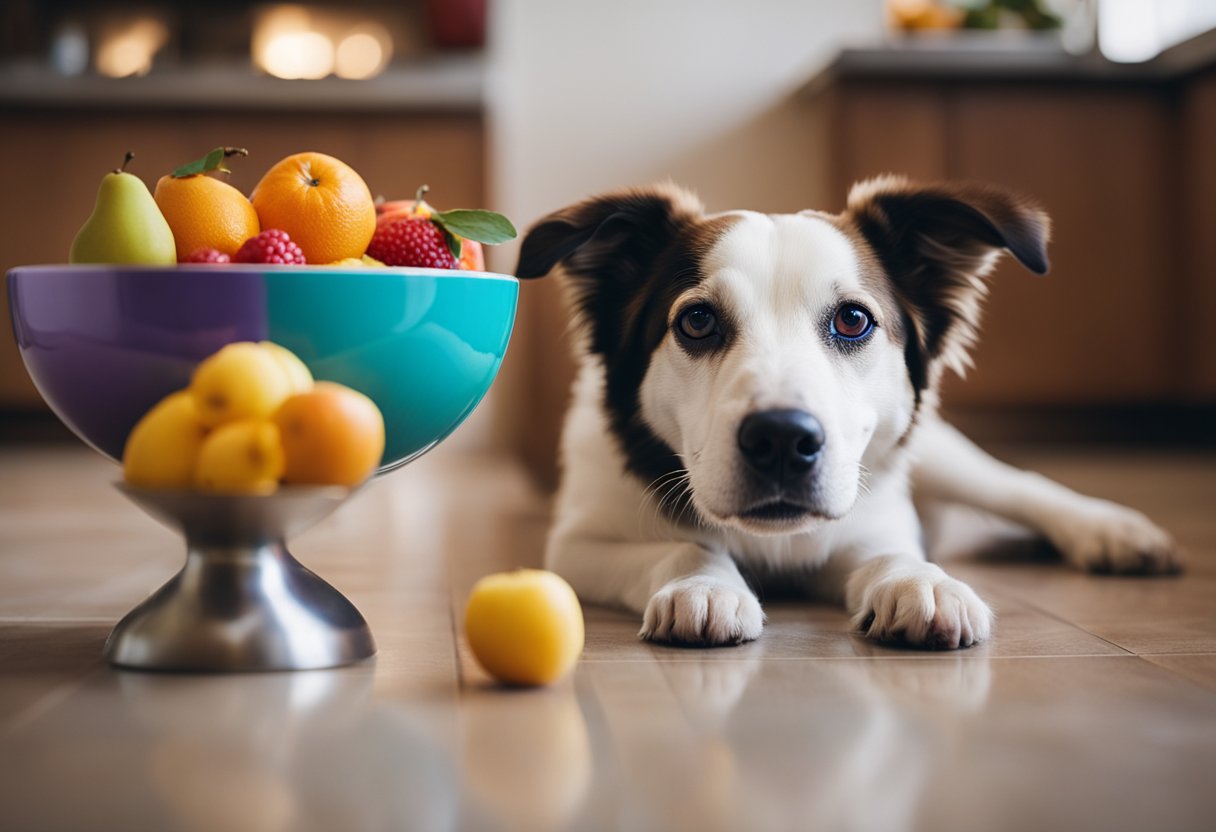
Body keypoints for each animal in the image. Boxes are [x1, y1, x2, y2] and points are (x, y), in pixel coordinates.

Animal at [513, 178, 1177, 651]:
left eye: (853, 320)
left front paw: (920, 581)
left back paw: (1113, 532)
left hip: (939, 454)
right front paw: (703, 585)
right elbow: (683, 546)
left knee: (1018, 485)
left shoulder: (873, 517)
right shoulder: (575, 544)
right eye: (697, 321)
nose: (783, 440)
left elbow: (891, 550)